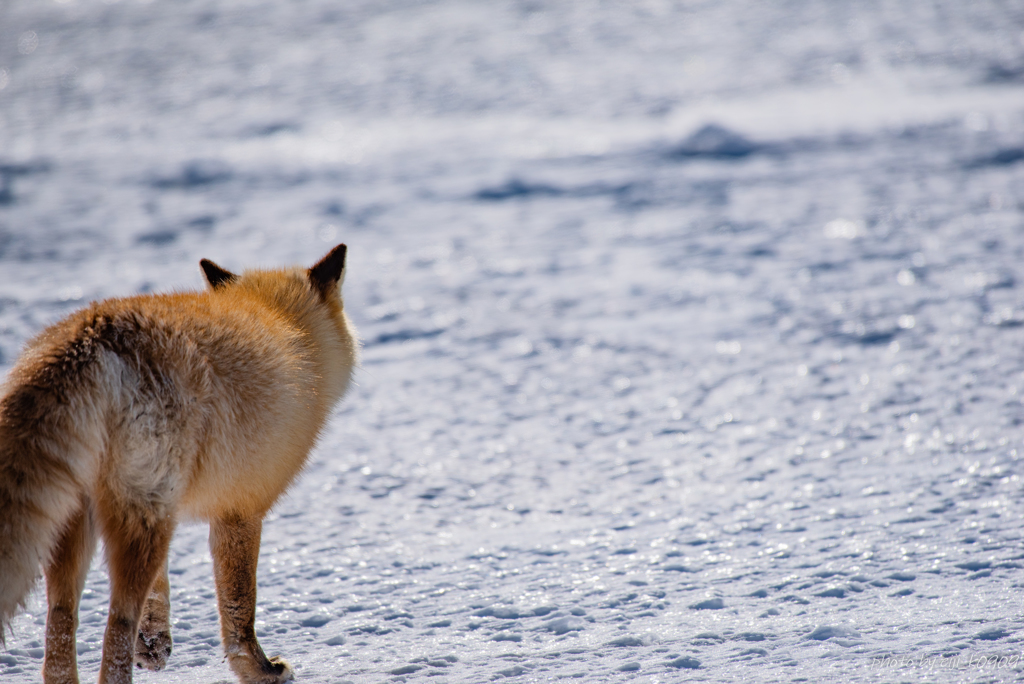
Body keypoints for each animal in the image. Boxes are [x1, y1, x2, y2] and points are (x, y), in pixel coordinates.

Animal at [0, 245, 360, 684]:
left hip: (86, 519)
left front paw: (154, 643)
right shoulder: (239, 509)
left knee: (61, 619)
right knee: (117, 624)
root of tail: (94, 334)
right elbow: (239, 609)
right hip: (139, 513)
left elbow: (161, 586)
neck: (287, 328)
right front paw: (258, 670)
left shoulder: (172, 504)